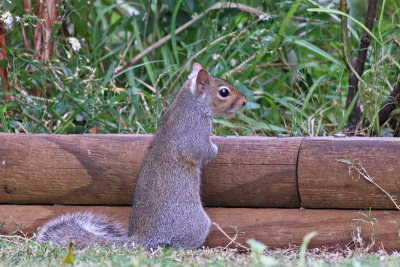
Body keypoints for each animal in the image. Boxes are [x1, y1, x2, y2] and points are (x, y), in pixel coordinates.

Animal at [36, 63, 247, 251]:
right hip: (196, 224)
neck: (189, 104)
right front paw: (216, 147)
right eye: (224, 92)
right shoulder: (193, 131)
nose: (245, 101)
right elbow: (201, 151)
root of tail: (144, 238)